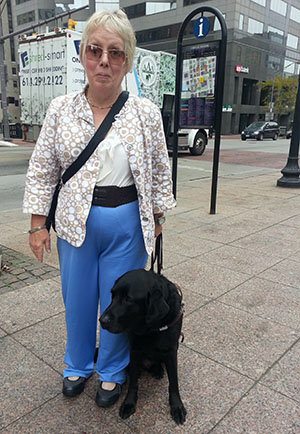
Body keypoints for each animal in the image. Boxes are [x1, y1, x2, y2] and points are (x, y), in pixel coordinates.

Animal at [99, 268, 186, 424]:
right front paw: (129, 403)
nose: (102, 320)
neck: (151, 328)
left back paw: (157, 370)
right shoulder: (134, 350)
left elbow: (174, 382)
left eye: (128, 299)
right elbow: (133, 381)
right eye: (112, 295)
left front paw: (177, 406)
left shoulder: (171, 351)